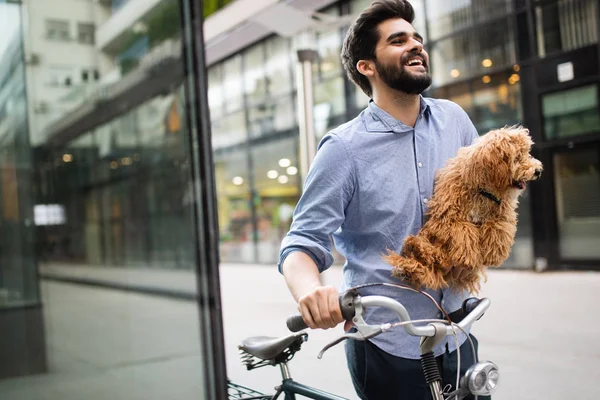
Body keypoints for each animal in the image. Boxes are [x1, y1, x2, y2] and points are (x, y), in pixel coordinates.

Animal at [384, 126, 544, 292]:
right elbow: (465, 230)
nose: (538, 171)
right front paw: (468, 257)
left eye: (527, 153)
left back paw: (414, 252)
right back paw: (415, 249)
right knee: (436, 258)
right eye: (517, 157)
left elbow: (498, 228)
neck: (484, 191)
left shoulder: (502, 214)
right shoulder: (446, 219)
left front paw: (493, 254)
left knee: (437, 261)